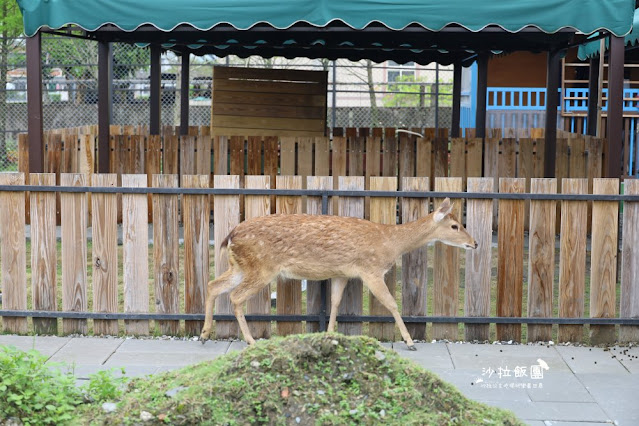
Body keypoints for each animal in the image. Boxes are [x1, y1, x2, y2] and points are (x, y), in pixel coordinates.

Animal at [199, 196, 476, 350]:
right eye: (455, 225)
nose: (474, 243)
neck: (389, 242)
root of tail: (229, 236)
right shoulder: (370, 269)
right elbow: (391, 303)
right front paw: (409, 342)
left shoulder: (343, 272)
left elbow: (334, 302)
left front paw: (329, 335)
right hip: (262, 267)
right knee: (235, 296)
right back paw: (250, 341)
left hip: (240, 266)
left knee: (213, 285)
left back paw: (203, 334)